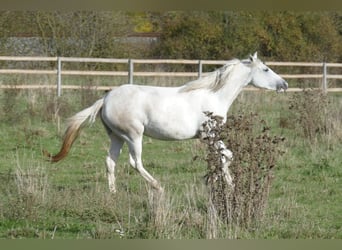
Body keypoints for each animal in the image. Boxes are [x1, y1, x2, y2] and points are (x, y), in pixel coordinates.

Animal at [44, 52, 288, 193]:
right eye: (266, 69)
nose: (284, 84)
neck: (214, 95)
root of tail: (105, 99)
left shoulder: (209, 137)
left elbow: (224, 157)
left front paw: (227, 184)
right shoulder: (209, 135)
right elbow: (226, 156)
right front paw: (229, 185)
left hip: (116, 136)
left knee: (110, 162)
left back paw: (113, 194)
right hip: (133, 135)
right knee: (135, 163)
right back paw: (158, 187)